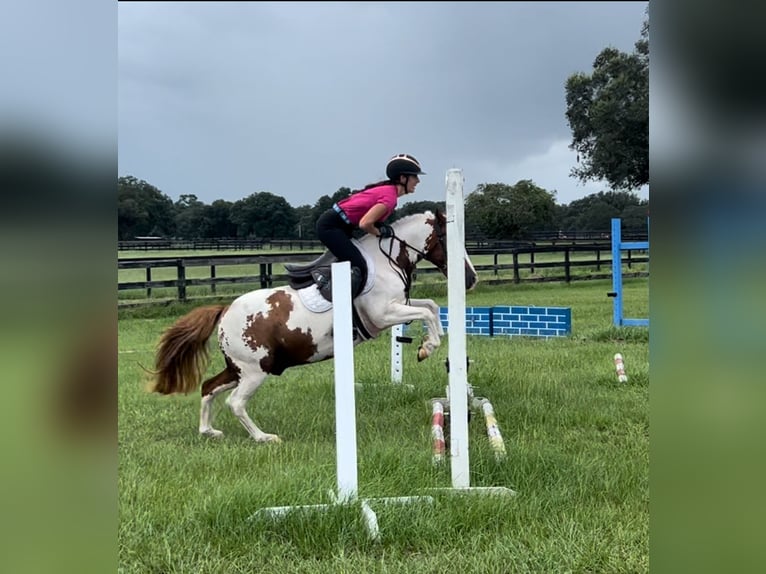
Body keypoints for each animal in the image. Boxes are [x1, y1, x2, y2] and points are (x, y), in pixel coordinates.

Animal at [147, 212, 476, 446]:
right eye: (449, 240)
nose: (470, 279)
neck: (385, 262)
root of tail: (225, 311)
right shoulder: (383, 315)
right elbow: (427, 312)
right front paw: (427, 348)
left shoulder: (397, 307)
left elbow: (431, 306)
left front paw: (429, 344)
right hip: (254, 370)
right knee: (235, 402)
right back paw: (263, 437)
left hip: (239, 368)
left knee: (208, 387)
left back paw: (208, 431)